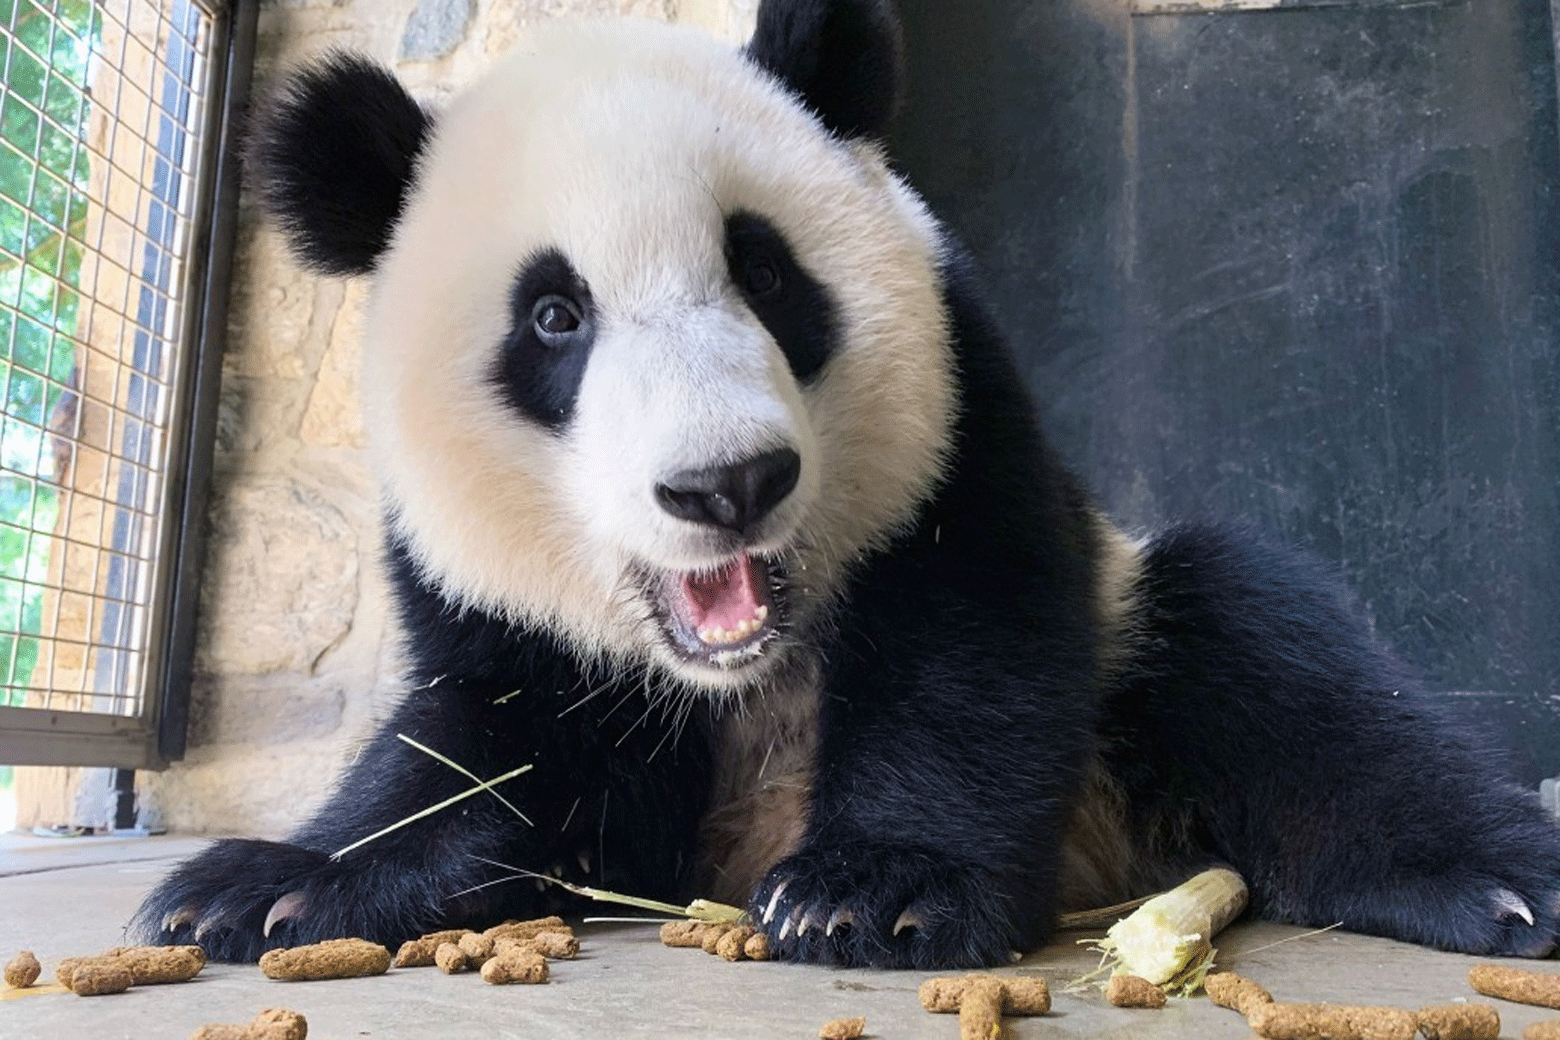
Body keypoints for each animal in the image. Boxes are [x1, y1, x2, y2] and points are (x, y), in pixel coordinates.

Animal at [137, 0, 1560, 966]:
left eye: (767, 273)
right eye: (553, 317)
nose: (730, 483)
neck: (746, 664)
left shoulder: (964, 408)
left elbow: (970, 647)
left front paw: (871, 887)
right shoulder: (496, 600)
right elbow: (485, 749)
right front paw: (260, 885)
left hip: (1137, 639)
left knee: (1271, 650)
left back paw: (1495, 881)